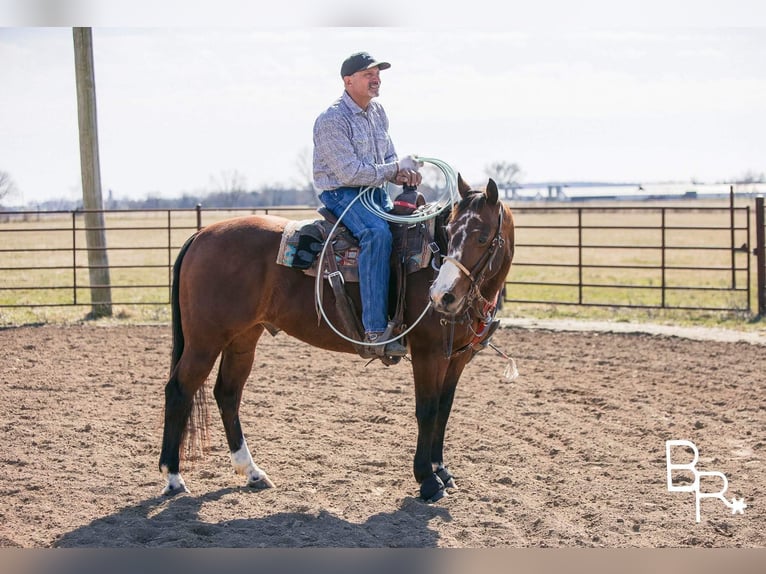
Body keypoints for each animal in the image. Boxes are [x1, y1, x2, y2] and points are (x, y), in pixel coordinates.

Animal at [158, 174, 516, 504]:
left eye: (482, 236)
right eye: (450, 231)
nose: (442, 296)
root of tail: (201, 235)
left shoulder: (456, 357)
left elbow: (444, 409)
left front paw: (443, 471)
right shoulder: (429, 354)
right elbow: (427, 410)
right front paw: (427, 480)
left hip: (242, 339)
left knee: (227, 394)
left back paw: (252, 472)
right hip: (205, 341)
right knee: (179, 390)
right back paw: (174, 478)